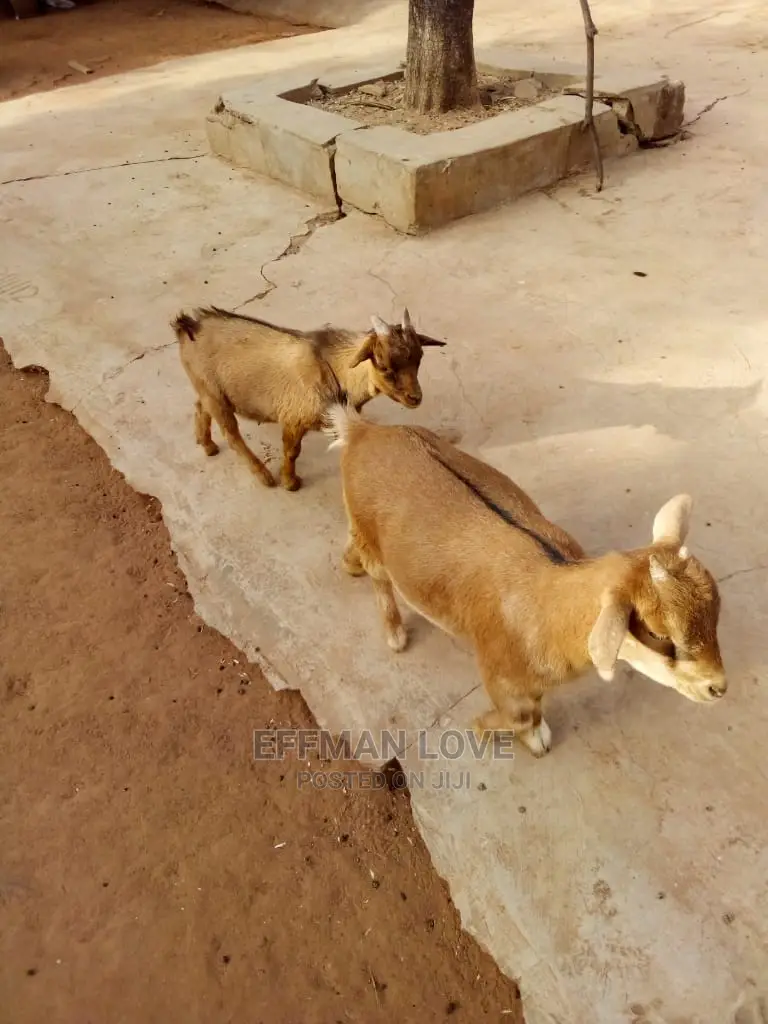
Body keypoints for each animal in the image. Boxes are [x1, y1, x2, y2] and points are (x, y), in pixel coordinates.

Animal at [172, 305, 445, 491]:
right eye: (384, 365)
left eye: (419, 358)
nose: (415, 397)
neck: (332, 366)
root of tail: (189, 326)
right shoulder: (293, 419)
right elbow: (292, 451)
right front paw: (290, 482)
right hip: (215, 395)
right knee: (231, 433)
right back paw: (263, 475)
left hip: (208, 390)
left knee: (200, 407)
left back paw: (207, 444)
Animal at [326, 406, 727, 758]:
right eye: (657, 633)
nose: (717, 687)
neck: (554, 607)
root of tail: (361, 430)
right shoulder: (500, 672)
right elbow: (519, 716)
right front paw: (491, 730)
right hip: (369, 532)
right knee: (380, 579)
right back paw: (394, 634)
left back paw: (350, 564)